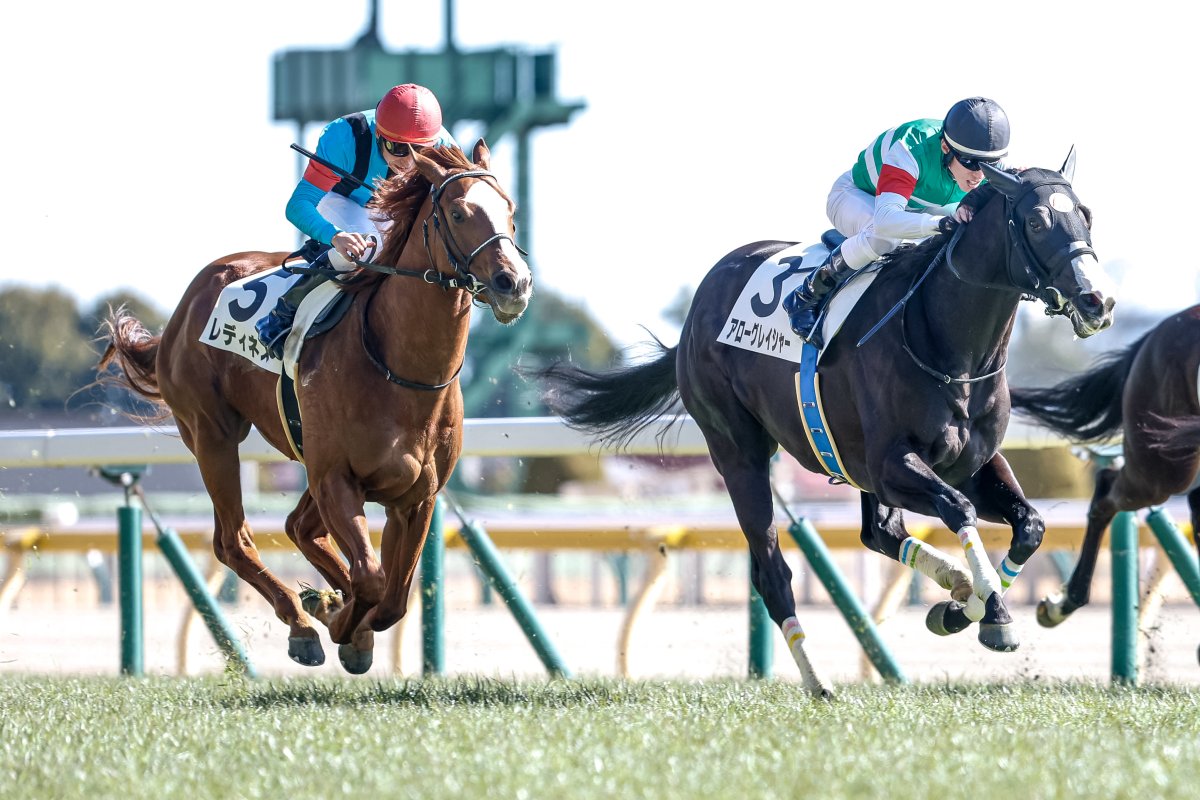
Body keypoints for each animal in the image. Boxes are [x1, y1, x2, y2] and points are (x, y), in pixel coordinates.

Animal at [98, 140, 532, 673]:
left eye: (511, 212)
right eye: (457, 212)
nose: (515, 283)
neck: (399, 368)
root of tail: (188, 301)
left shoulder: (416, 495)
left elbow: (393, 597)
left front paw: (344, 617)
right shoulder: (335, 479)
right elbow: (372, 580)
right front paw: (339, 622)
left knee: (298, 529)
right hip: (212, 434)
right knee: (234, 540)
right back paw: (303, 624)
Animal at [535, 157, 1115, 696]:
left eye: (1086, 215)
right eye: (1036, 221)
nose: (1098, 301)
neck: (948, 346)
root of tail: (699, 307)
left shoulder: (971, 463)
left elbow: (1030, 526)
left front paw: (966, 606)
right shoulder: (893, 463)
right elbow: (959, 510)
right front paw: (989, 611)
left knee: (881, 533)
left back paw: (951, 586)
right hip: (738, 451)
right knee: (772, 571)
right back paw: (818, 682)